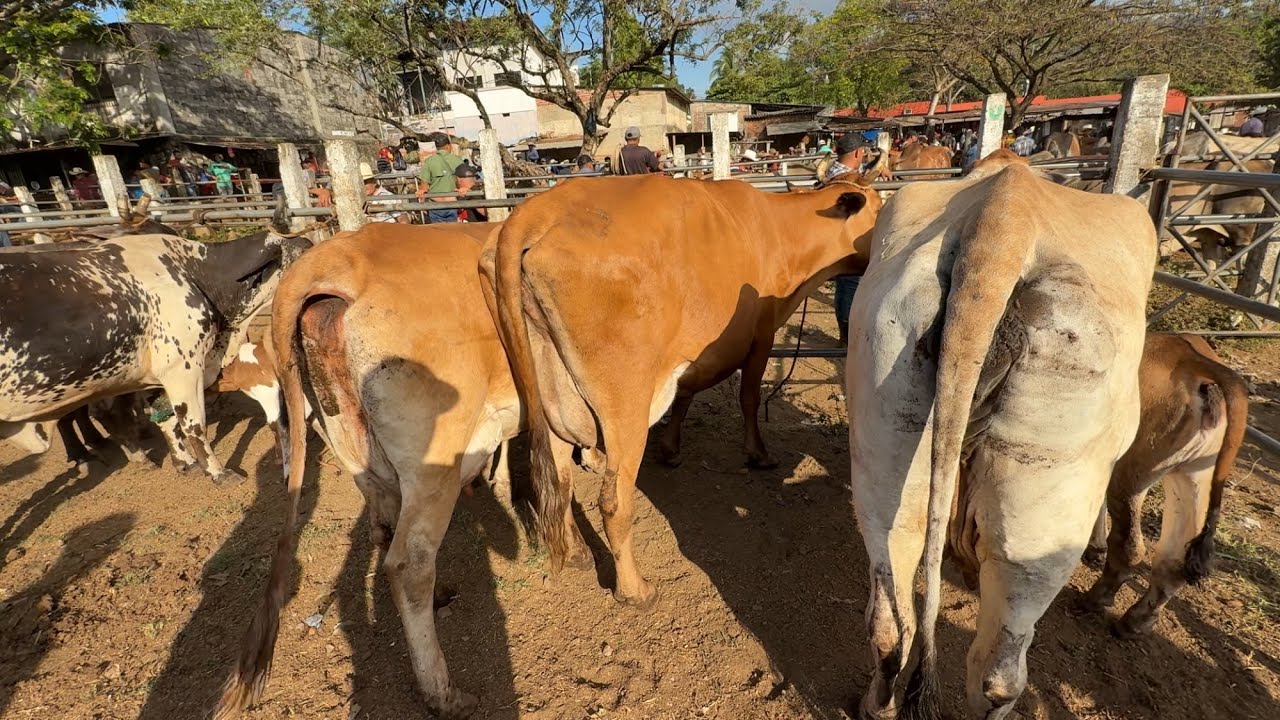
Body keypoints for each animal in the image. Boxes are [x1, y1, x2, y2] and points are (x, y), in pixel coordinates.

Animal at [0, 231, 309, 482]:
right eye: (300, 251)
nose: (309, 243)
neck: (193, 274)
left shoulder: (150, 377)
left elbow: (166, 418)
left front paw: (184, 463)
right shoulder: (182, 368)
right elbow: (193, 424)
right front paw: (217, 472)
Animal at [216, 223, 517, 720]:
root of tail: (341, 252)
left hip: (349, 446)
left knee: (383, 530)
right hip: (432, 465)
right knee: (408, 562)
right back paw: (443, 693)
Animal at [487, 170, 882, 608]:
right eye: (880, 209)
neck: (782, 231)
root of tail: (539, 208)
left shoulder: (693, 355)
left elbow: (685, 397)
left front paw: (671, 448)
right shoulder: (760, 336)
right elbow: (749, 399)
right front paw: (758, 454)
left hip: (553, 392)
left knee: (558, 478)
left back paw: (576, 554)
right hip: (625, 403)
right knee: (613, 500)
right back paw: (635, 590)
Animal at [845, 151, 1155, 720]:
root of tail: (1003, 222)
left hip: (885, 415)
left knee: (890, 612)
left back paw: (876, 704)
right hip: (1045, 502)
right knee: (998, 673)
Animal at [1082, 333, 1248, 637]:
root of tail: (1192, 358)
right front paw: (1094, 546)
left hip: (1131, 473)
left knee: (1130, 547)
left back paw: (1096, 599)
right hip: (1193, 476)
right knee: (1172, 561)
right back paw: (1135, 621)